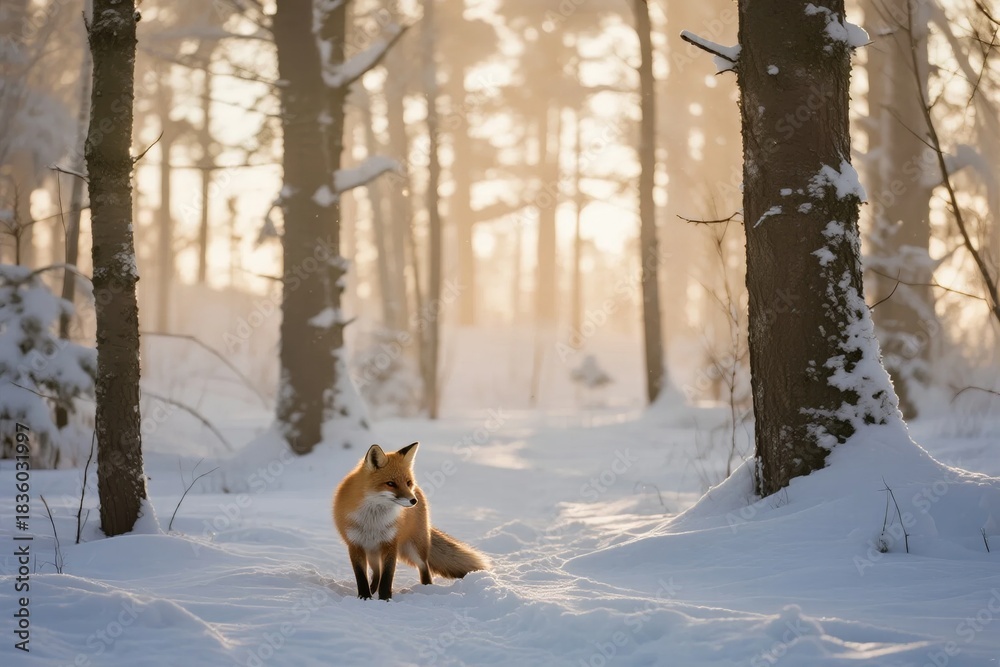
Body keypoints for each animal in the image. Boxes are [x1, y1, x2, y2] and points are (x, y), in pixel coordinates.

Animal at [333, 442, 489, 600]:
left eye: (407, 482)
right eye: (390, 483)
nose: (413, 501)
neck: (373, 520)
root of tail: (418, 489)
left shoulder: (391, 543)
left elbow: (387, 576)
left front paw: (385, 598)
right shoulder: (355, 544)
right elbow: (361, 576)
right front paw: (365, 596)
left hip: (415, 547)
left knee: (424, 567)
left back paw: (426, 589)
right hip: (372, 552)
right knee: (376, 572)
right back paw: (373, 589)